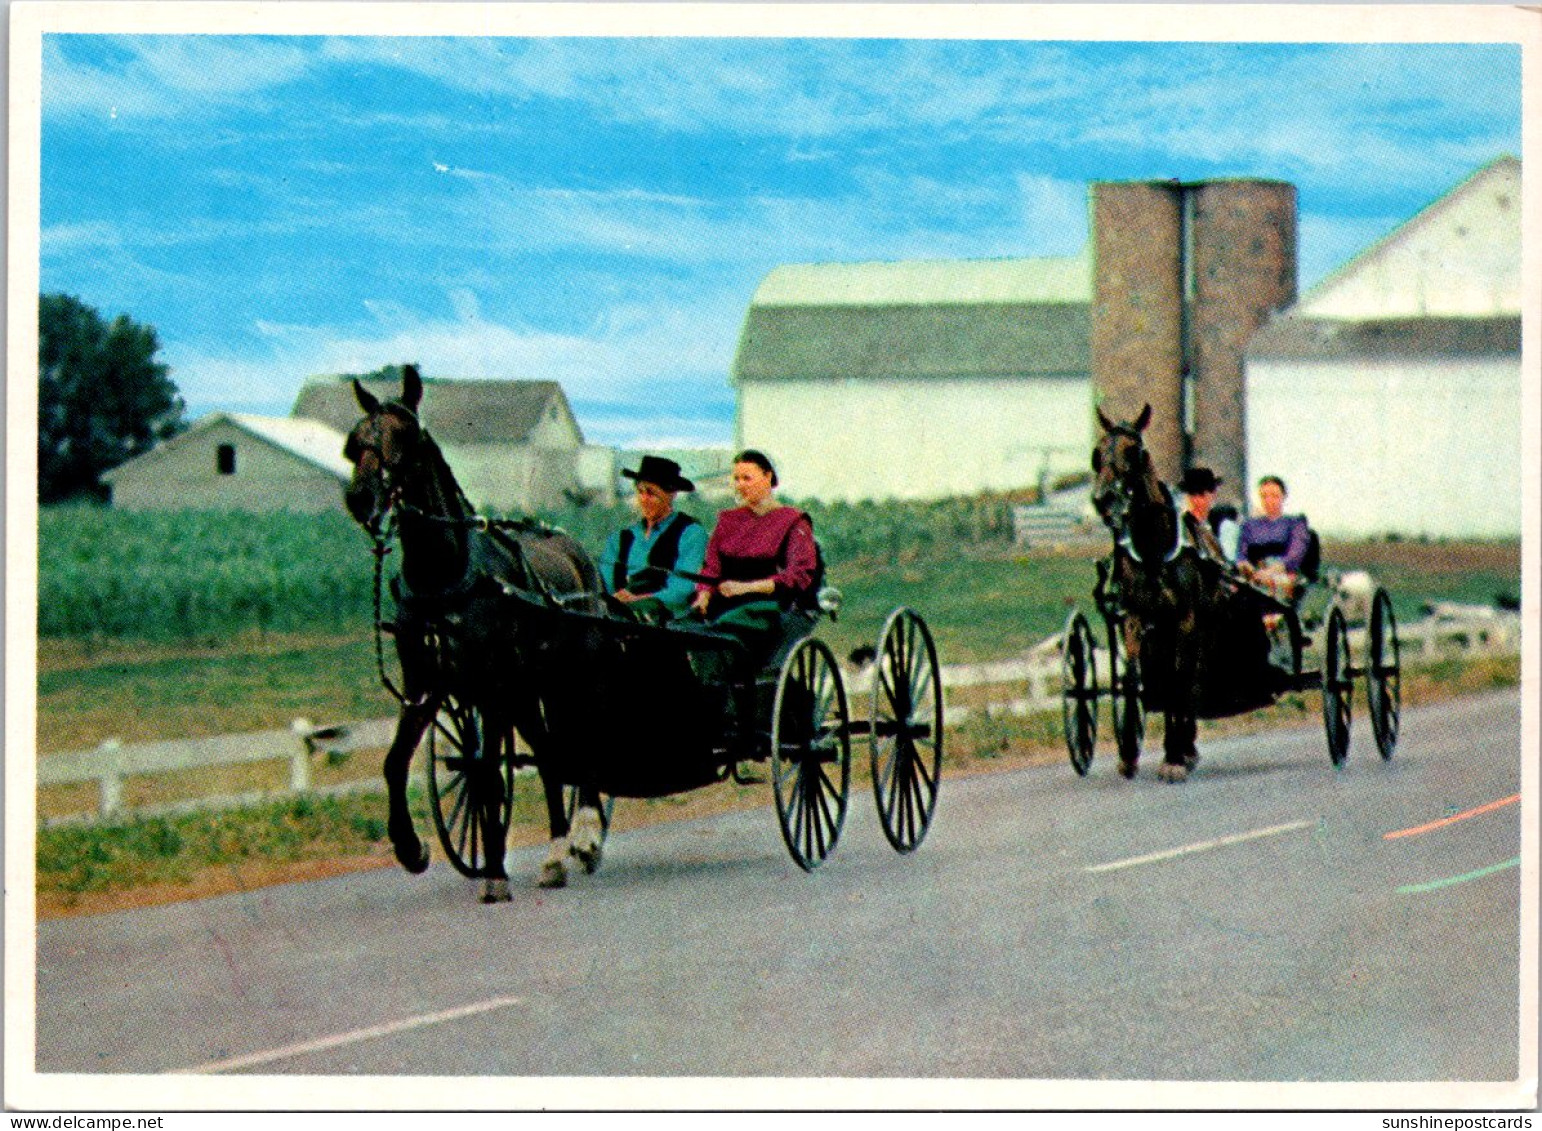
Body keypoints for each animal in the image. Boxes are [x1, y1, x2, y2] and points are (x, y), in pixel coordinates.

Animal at [346, 365, 610, 907]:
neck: (445, 576)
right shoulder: (426, 687)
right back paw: (555, 854)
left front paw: (494, 872)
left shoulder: (490, 688)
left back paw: (586, 836)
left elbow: (488, 771)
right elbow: (396, 764)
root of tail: (577, 552)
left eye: (404, 436)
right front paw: (411, 848)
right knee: (550, 753)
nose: (360, 499)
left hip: (574, 678)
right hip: (529, 691)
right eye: (357, 440)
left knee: (580, 746)